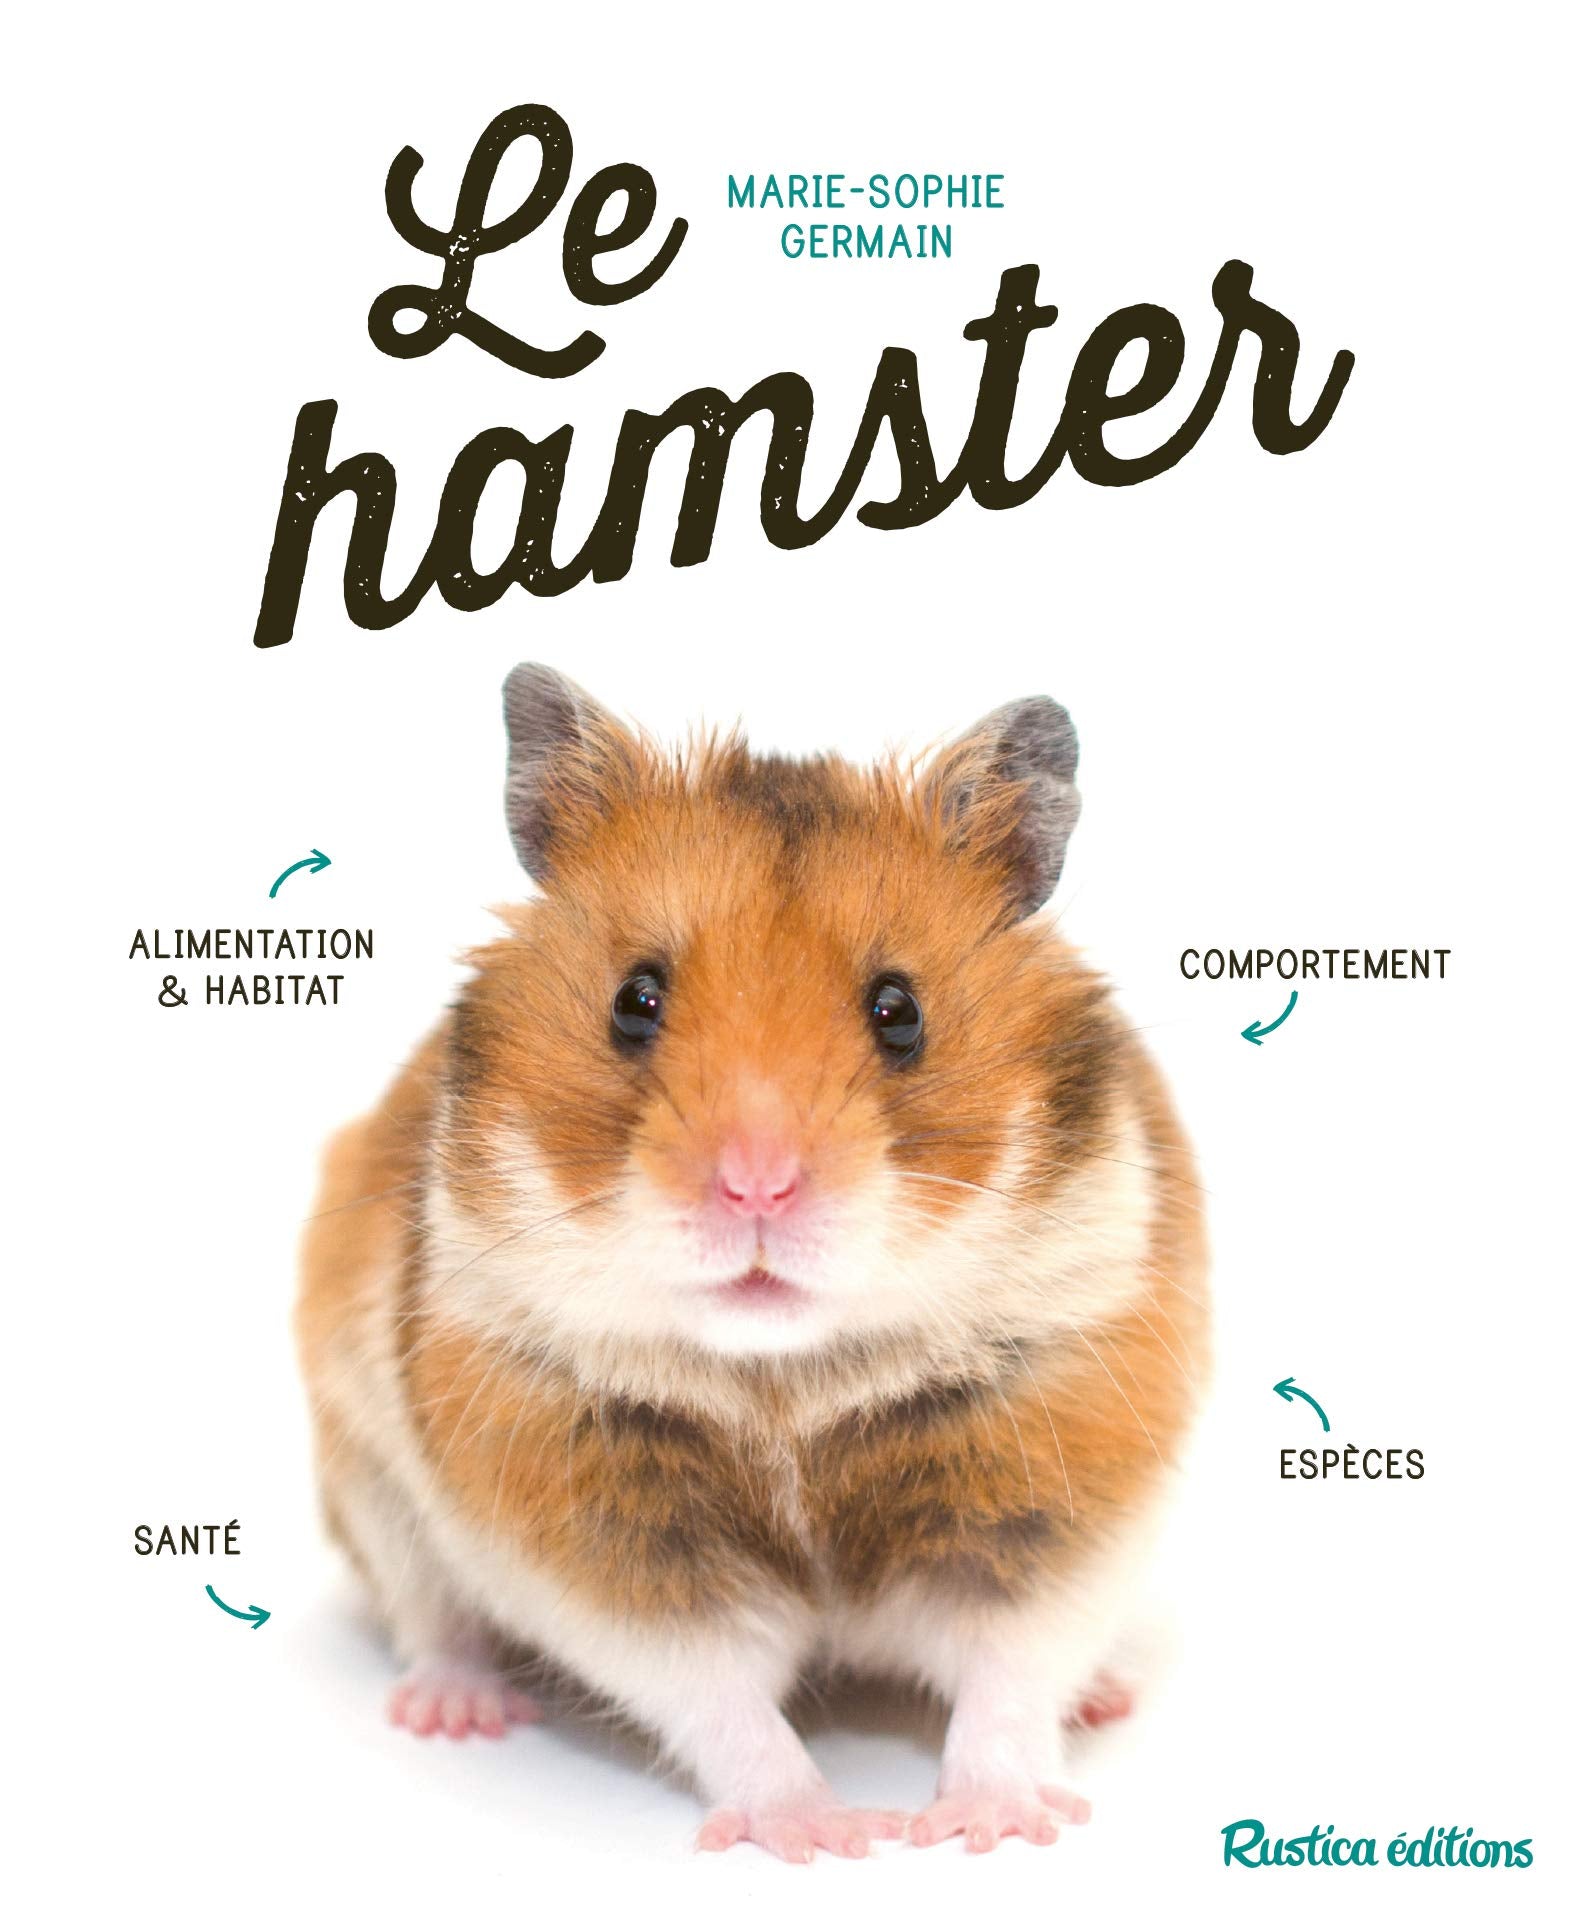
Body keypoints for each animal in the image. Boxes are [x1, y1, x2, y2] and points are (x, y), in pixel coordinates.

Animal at [298, 663, 1209, 1860]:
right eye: (634, 1001)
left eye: (899, 1010)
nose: (757, 1187)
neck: (790, 1380)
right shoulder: (599, 1529)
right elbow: (721, 1697)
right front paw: (829, 1832)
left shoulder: (1059, 1485)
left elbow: (1010, 1675)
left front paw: (993, 1826)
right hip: (368, 1482)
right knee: (431, 1617)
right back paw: (456, 1710)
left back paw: (1103, 1697)